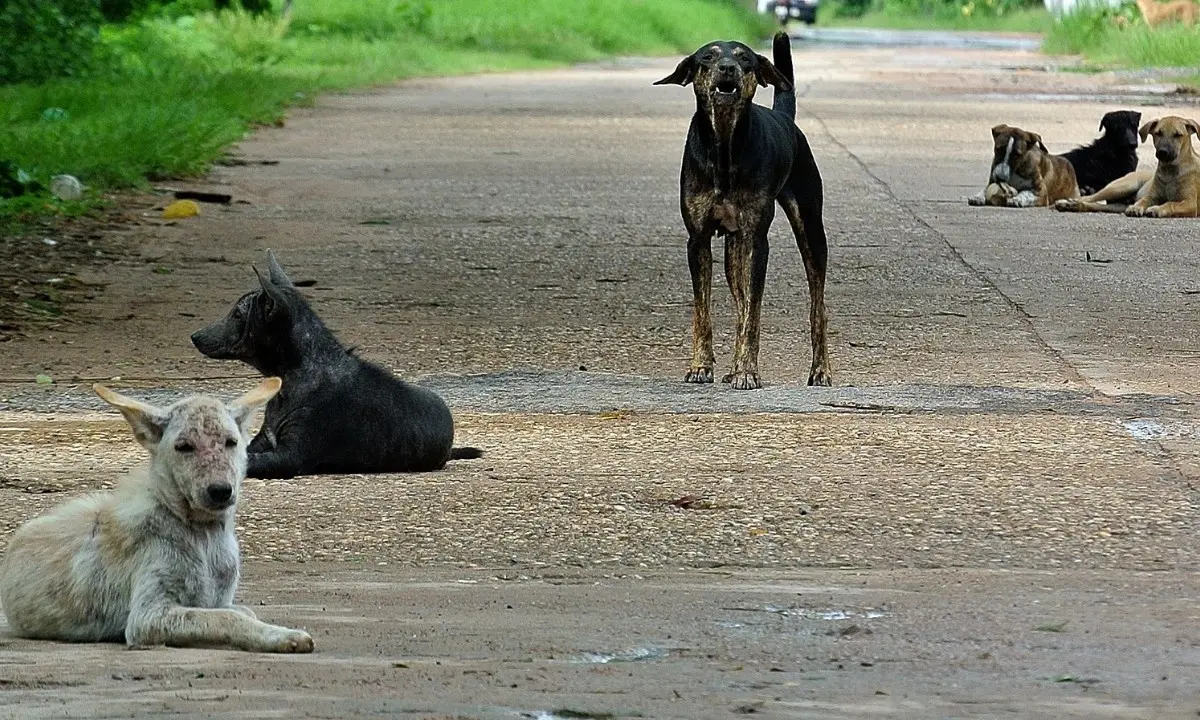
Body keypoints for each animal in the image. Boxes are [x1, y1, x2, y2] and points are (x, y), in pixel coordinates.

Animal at [0, 376, 314, 652]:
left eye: (230, 442)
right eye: (183, 447)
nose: (220, 491)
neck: (202, 534)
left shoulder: (219, 600)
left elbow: (243, 612)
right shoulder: (147, 617)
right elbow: (228, 618)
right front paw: (284, 636)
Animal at [657, 32, 835, 393]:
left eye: (745, 58)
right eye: (708, 57)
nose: (727, 67)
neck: (725, 148)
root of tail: (786, 119)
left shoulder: (757, 238)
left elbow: (754, 313)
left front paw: (747, 372)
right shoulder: (697, 239)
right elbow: (704, 310)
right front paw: (701, 366)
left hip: (810, 226)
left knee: (817, 303)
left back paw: (820, 370)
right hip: (733, 248)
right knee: (739, 299)